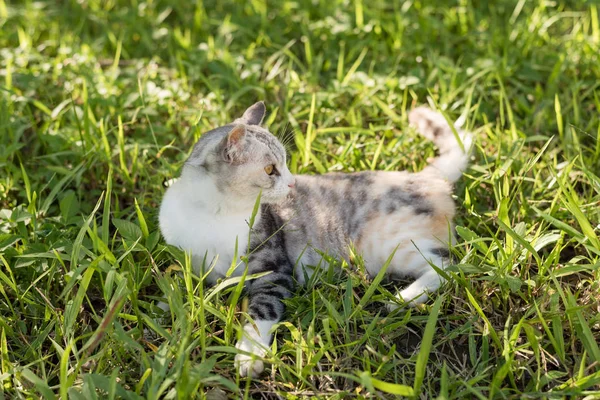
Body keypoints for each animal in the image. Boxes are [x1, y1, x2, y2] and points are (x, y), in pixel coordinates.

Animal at [159, 101, 474, 378]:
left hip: (387, 243)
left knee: (447, 266)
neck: (215, 214)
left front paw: (249, 355)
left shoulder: (274, 270)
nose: (292, 183)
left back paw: (400, 300)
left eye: (286, 164)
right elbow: (178, 283)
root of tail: (424, 177)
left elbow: (261, 310)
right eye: (270, 170)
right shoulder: (185, 257)